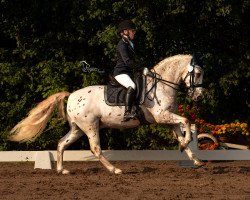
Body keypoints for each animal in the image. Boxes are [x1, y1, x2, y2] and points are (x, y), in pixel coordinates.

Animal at [9, 54, 205, 173]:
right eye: (197, 73)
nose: (199, 96)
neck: (162, 85)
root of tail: (71, 95)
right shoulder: (161, 115)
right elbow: (187, 120)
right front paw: (187, 147)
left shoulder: (168, 119)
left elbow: (182, 133)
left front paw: (195, 159)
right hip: (90, 127)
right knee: (96, 148)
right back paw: (115, 170)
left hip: (78, 128)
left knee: (61, 143)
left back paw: (62, 170)